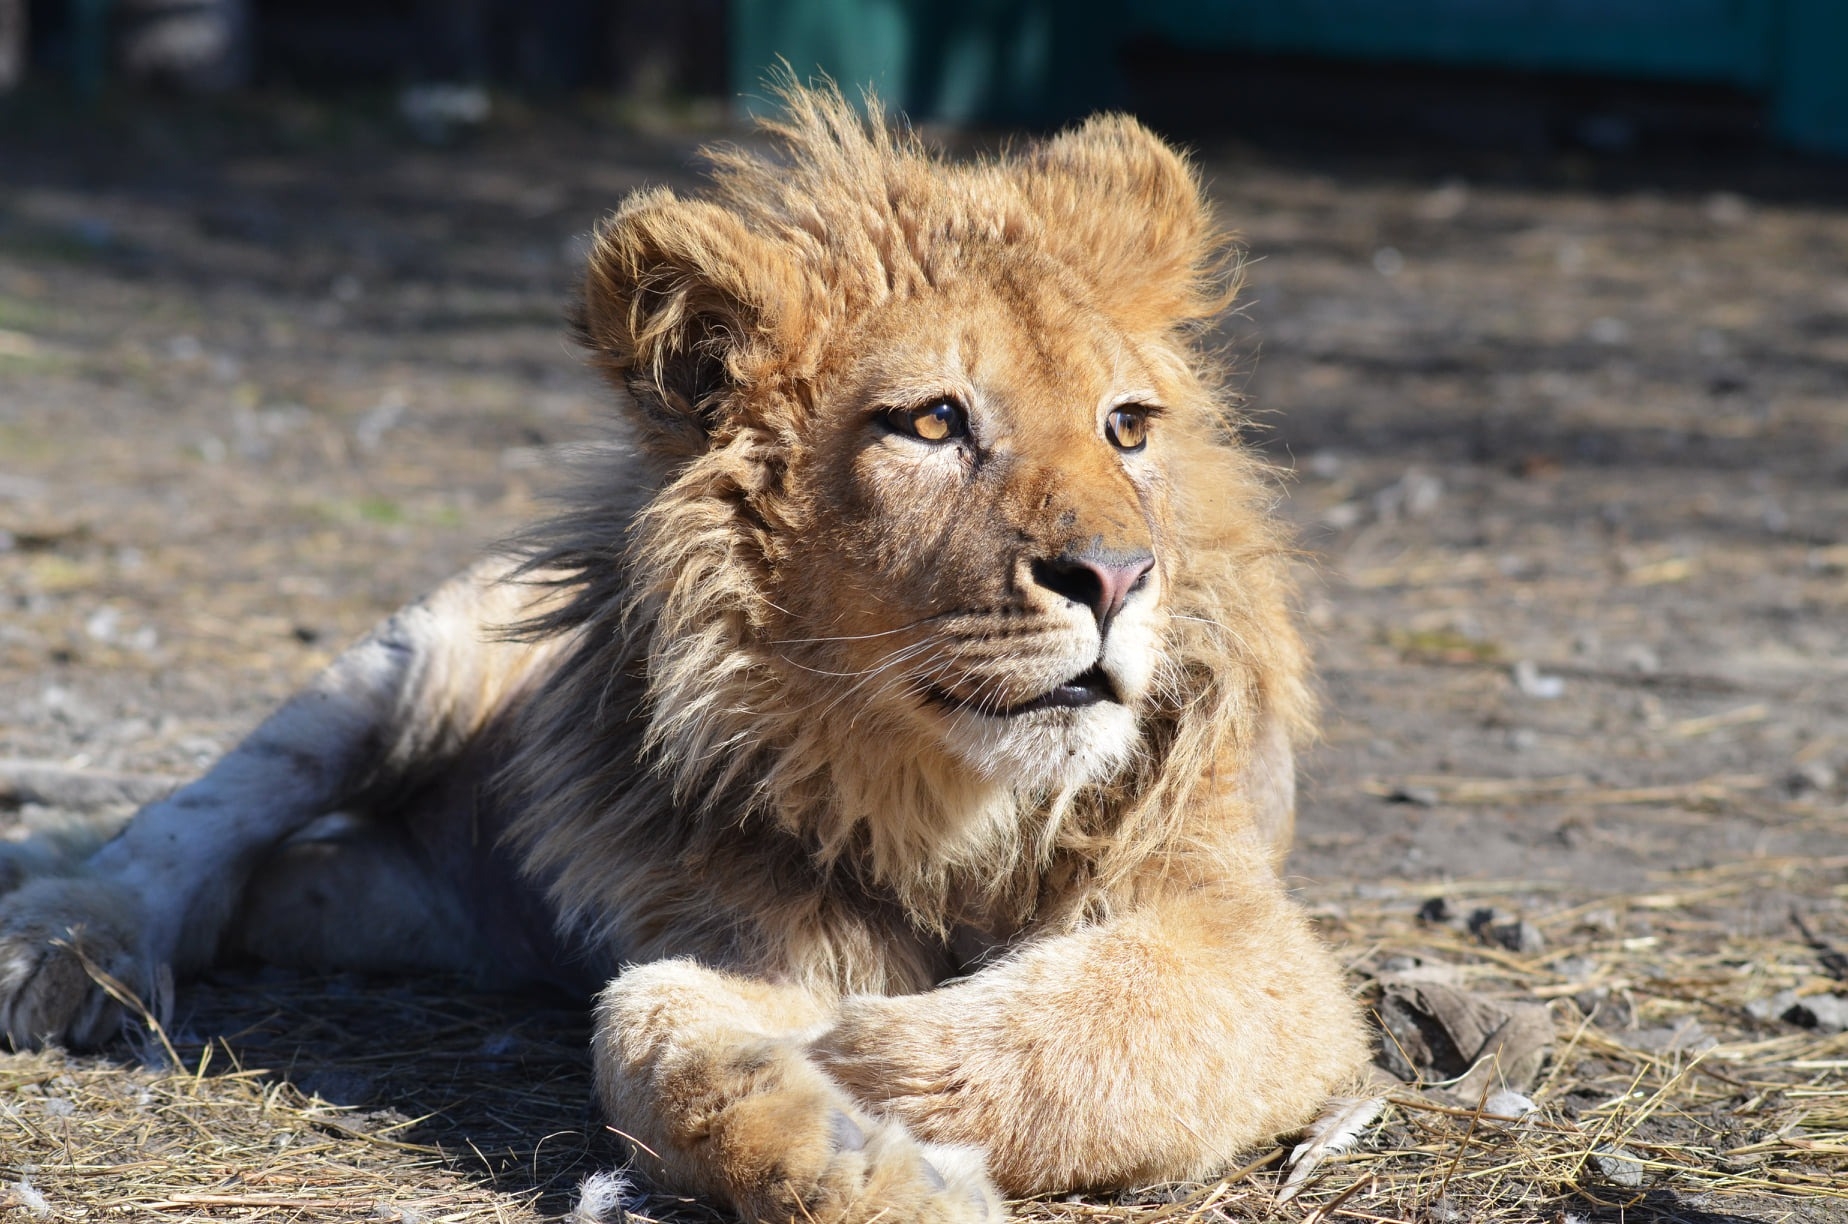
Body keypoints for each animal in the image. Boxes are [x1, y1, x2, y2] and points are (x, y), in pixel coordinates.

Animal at [0, 88, 1367, 1224]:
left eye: (1128, 427)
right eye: (933, 423)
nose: (1118, 576)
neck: (948, 808)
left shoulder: (1246, 929)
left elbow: (1115, 1031)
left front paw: (858, 1062)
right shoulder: (730, 922)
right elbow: (647, 1035)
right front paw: (860, 1155)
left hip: (390, 896)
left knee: (263, 891)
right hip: (417, 661)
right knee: (192, 824)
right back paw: (65, 950)